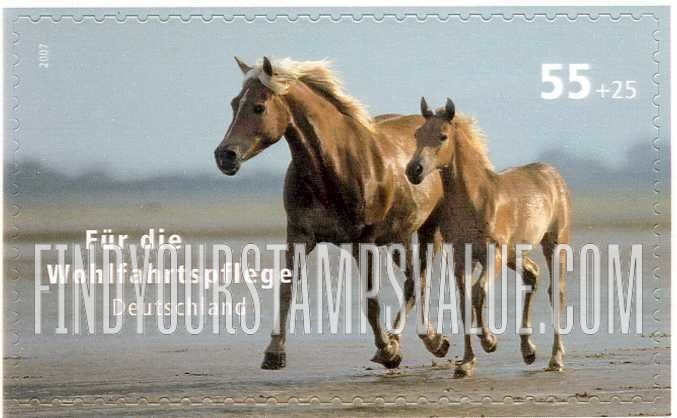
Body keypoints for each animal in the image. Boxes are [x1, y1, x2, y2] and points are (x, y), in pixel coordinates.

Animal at [214, 56, 450, 370]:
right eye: (233, 103)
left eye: (259, 107)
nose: (224, 156)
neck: (336, 166)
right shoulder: (299, 235)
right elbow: (286, 289)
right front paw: (274, 353)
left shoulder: (364, 242)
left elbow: (371, 301)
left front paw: (386, 352)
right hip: (398, 238)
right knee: (413, 282)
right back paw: (421, 340)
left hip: (427, 232)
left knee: (419, 281)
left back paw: (426, 342)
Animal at [405, 97, 571, 378]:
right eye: (417, 134)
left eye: (443, 136)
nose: (414, 170)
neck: (476, 199)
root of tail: (552, 174)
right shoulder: (461, 255)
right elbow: (464, 303)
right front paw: (466, 363)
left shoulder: (493, 253)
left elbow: (478, 292)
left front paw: (489, 341)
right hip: (515, 252)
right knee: (532, 274)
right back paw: (528, 351)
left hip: (553, 244)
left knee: (555, 291)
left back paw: (556, 359)